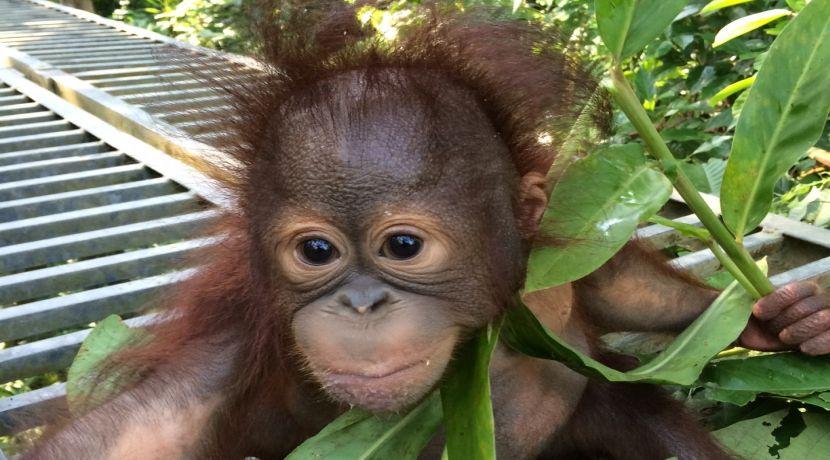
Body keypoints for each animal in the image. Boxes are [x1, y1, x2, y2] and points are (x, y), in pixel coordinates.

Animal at [20, 2, 830, 459]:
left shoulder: (544, 246)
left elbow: (616, 286)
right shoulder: (236, 358)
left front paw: (784, 320)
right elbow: (133, 429)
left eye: (403, 247)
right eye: (316, 251)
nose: (360, 306)